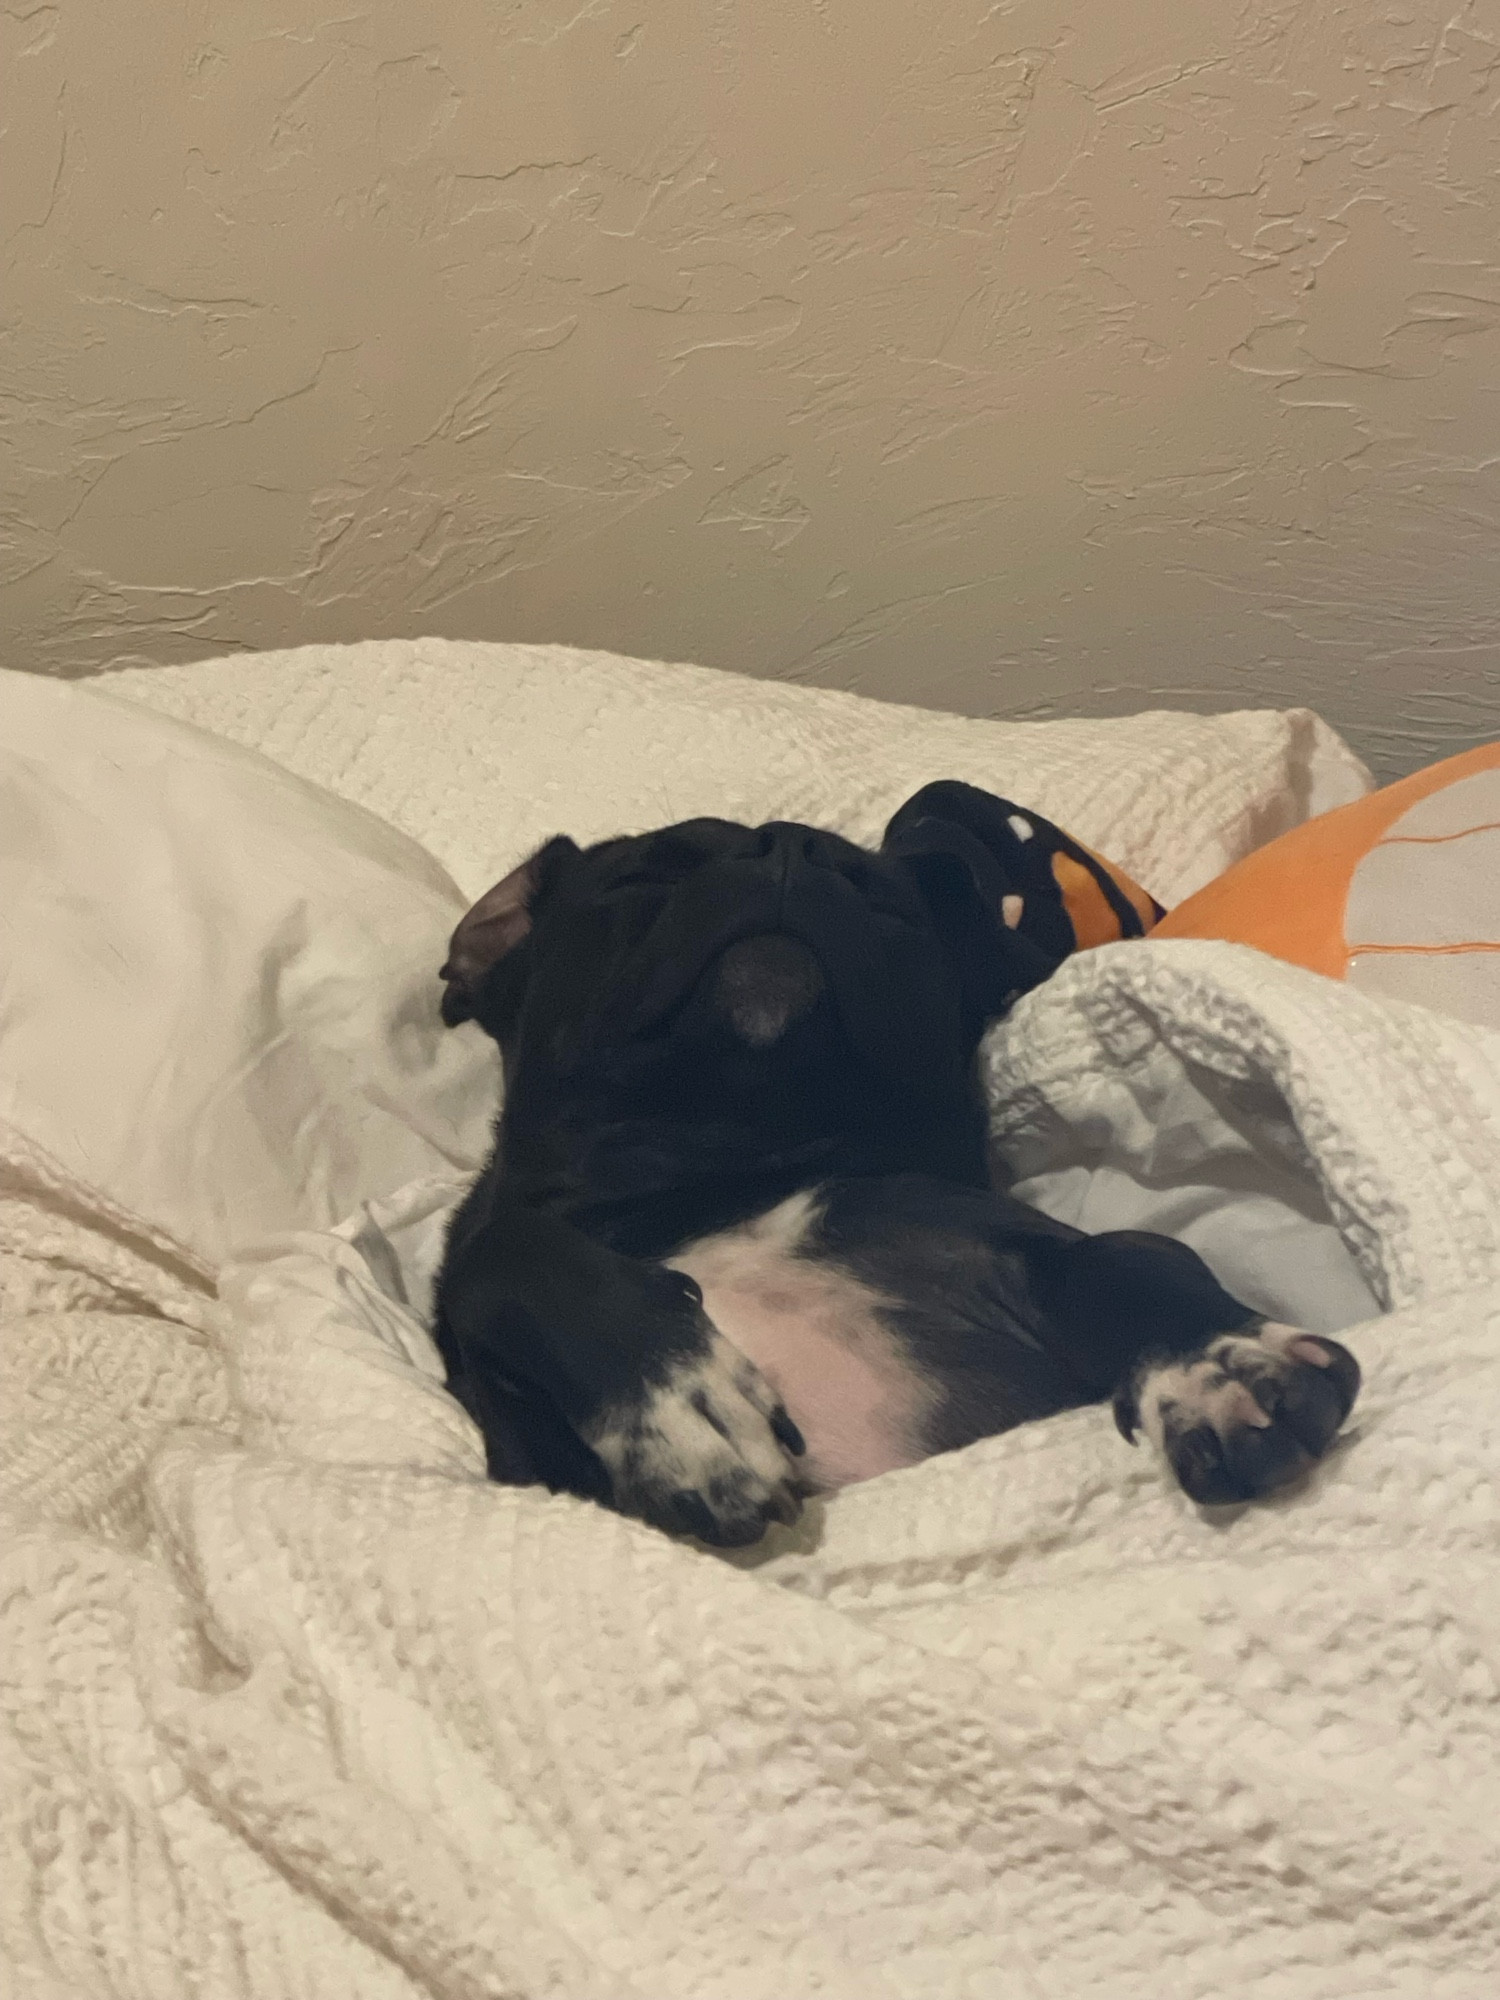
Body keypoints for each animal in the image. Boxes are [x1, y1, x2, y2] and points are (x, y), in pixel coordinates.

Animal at [432, 780, 1360, 1544]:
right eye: (642, 879)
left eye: (885, 903)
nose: (786, 847)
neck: (728, 1173)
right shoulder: (537, 1464)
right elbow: (501, 1251)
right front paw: (674, 1399)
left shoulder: (1014, 1247)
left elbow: (1136, 1263)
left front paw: (1214, 1363)